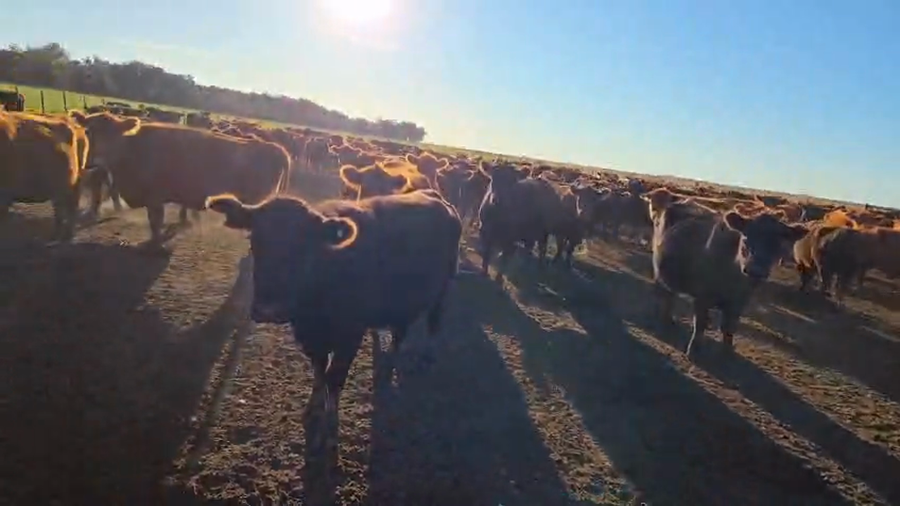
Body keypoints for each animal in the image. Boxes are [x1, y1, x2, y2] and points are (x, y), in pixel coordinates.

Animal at [69, 111, 291, 245]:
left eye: (114, 135)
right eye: (87, 131)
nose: (91, 160)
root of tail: (278, 149)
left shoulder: (155, 198)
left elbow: (155, 221)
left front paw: (153, 245)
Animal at [645, 192, 807, 357]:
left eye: (778, 243)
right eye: (746, 237)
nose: (755, 270)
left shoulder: (740, 302)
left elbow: (729, 326)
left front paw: (727, 350)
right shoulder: (702, 296)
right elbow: (701, 323)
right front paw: (693, 350)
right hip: (658, 269)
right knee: (664, 293)